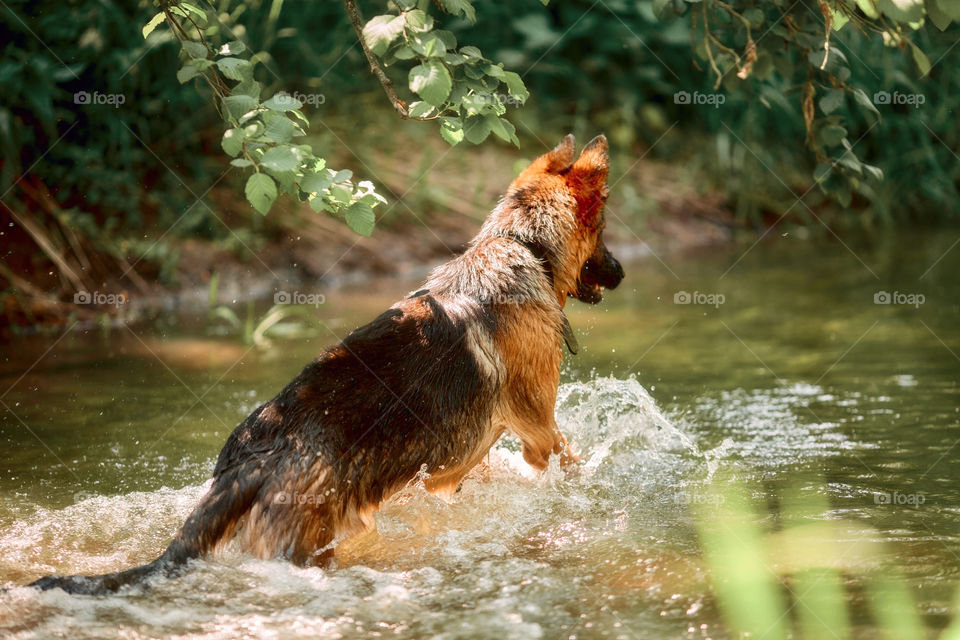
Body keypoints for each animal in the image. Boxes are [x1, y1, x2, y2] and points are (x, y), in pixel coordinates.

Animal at [30, 135, 624, 596]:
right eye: (601, 234)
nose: (620, 272)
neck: (523, 247)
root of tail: (253, 456)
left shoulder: (452, 468)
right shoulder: (538, 430)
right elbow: (567, 458)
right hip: (325, 540)